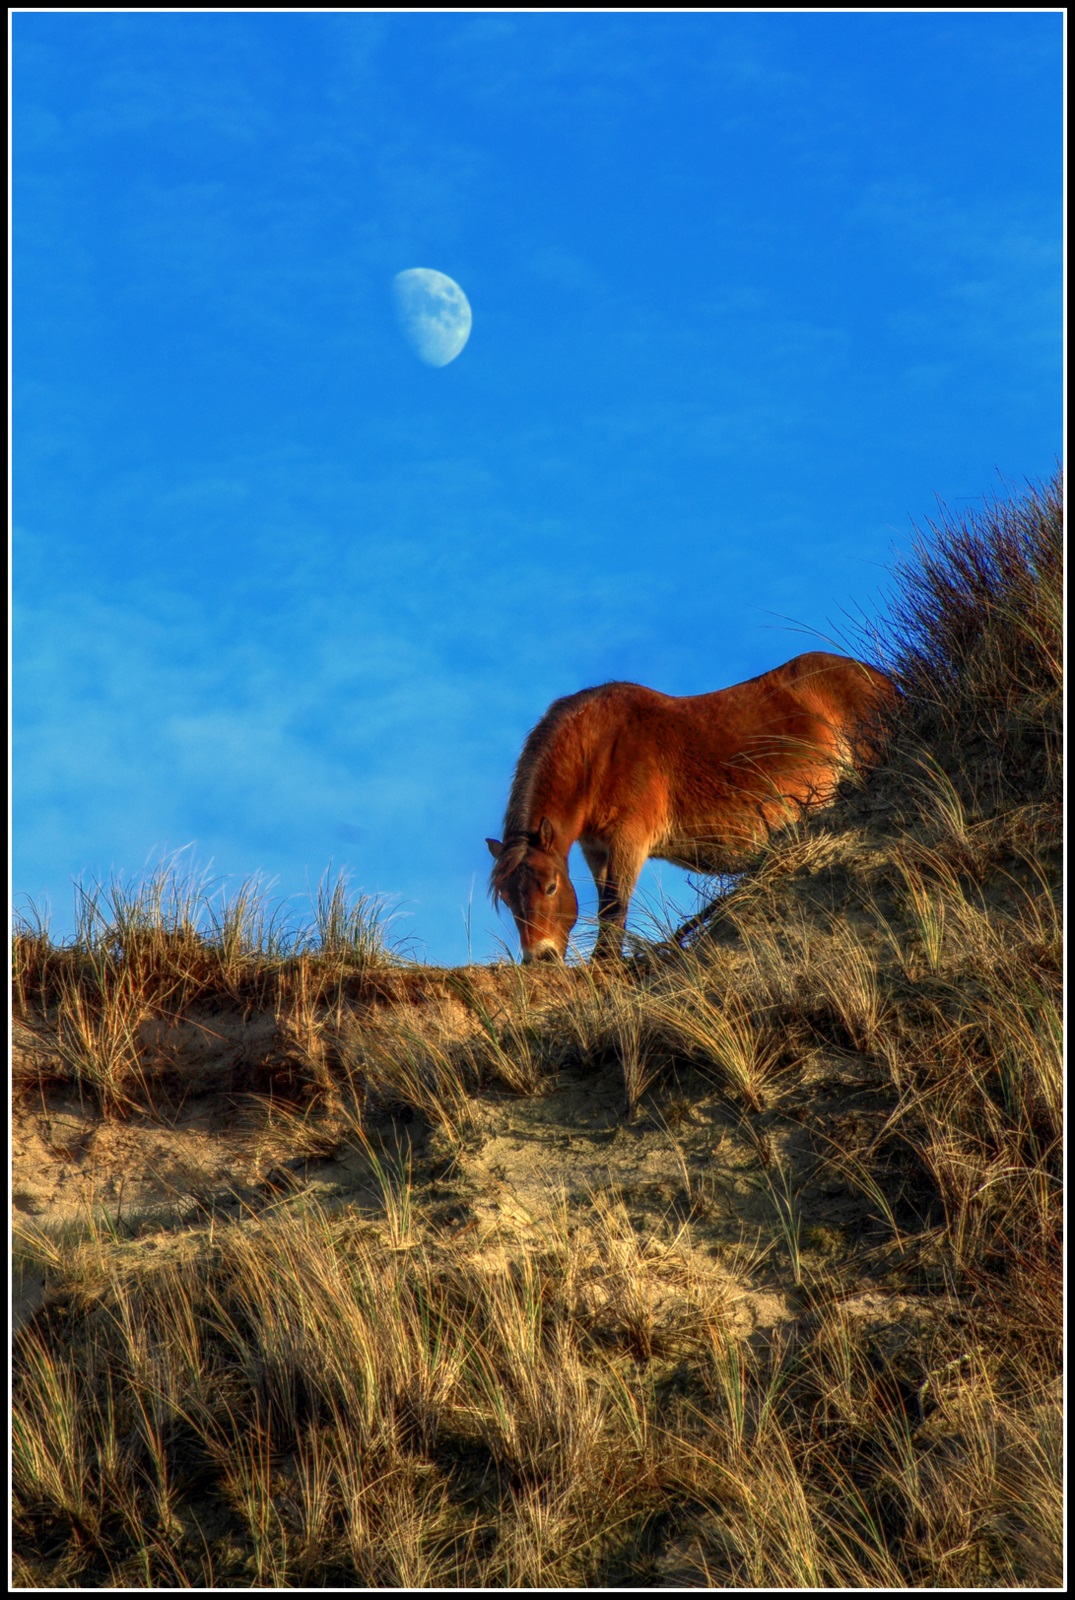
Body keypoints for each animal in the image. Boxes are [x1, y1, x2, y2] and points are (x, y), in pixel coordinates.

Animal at [486, 651, 895, 962]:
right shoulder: (596, 850)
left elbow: (615, 908)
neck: (603, 752)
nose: (541, 958)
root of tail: (879, 680)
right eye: (507, 898)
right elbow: (606, 906)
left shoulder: (629, 842)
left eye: (551, 887)